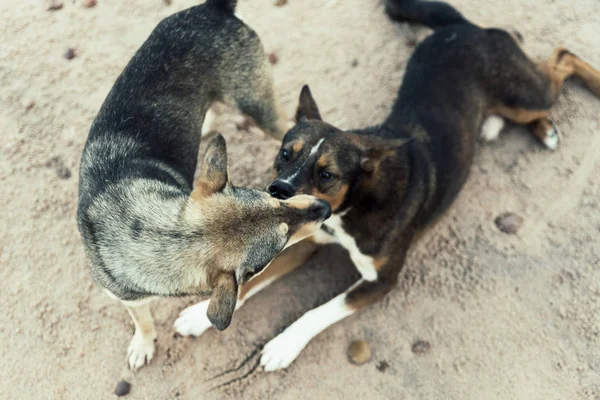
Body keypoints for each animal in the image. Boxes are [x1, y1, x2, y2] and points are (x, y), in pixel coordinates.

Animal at [77, 0, 330, 370]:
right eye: (279, 245)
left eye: (273, 196)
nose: (324, 208)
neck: (156, 232)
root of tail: (216, 7)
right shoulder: (127, 296)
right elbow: (142, 318)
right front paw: (143, 341)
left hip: (259, 108)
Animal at [177, 0, 600, 370]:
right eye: (285, 153)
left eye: (327, 174)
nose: (277, 191)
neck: (354, 205)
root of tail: (465, 27)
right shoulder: (309, 240)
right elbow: (257, 278)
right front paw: (200, 314)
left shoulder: (381, 280)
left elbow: (318, 311)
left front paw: (283, 345)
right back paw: (532, 127)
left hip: (524, 93)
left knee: (562, 57)